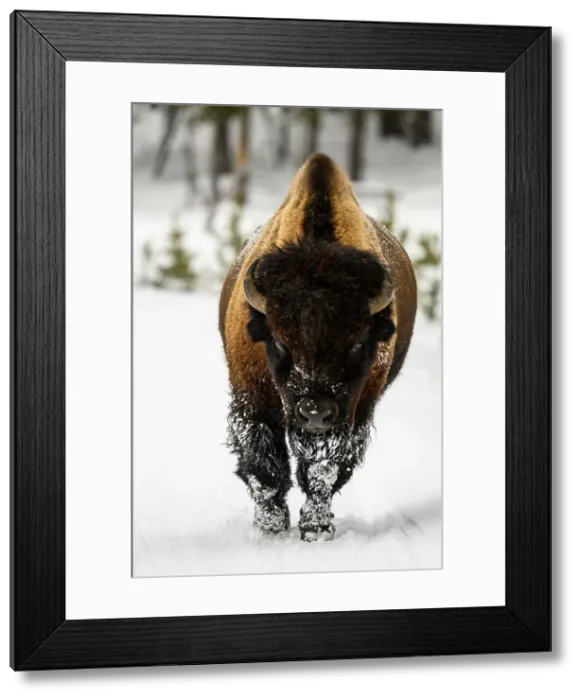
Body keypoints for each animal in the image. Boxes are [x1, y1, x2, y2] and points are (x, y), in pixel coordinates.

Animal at [219, 153, 417, 542]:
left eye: (358, 342)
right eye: (279, 339)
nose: (315, 412)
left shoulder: (353, 410)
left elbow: (323, 470)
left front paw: (316, 529)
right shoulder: (251, 399)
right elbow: (265, 466)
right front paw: (271, 527)